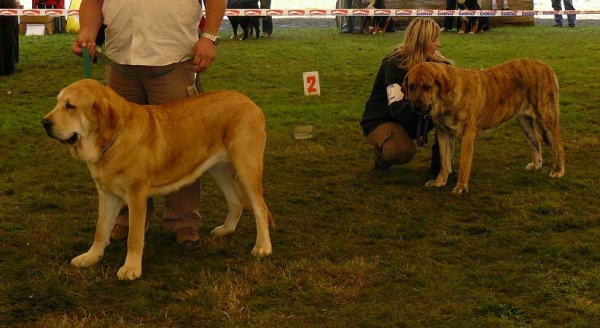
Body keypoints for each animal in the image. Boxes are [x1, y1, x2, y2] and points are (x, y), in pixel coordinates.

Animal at [42, 79, 274, 280]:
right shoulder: (107, 194)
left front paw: (131, 268)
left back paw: (263, 246)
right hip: (219, 170)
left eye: (70, 106)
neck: (112, 141)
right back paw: (226, 230)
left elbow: (134, 237)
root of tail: (248, 101)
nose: (44, 123)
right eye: (58, 102)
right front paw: (91, 257)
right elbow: (101, 230)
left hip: (246, 166)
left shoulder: (136, 196)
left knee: (260, 208)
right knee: (236, 201)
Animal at [404, 58, 568, 195]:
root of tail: (546, 66)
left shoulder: (467, 137)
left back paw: (558, 170)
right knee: (536, 142)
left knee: (558, 144)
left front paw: (461, 188)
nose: (415, 107)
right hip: (525, 122)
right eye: (411, 87)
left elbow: (464, 164)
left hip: (547, 116)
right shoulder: (443, 133)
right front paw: (439, 182)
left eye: (426, 87)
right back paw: (536, 165)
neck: (446, 100)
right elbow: (444, 161)